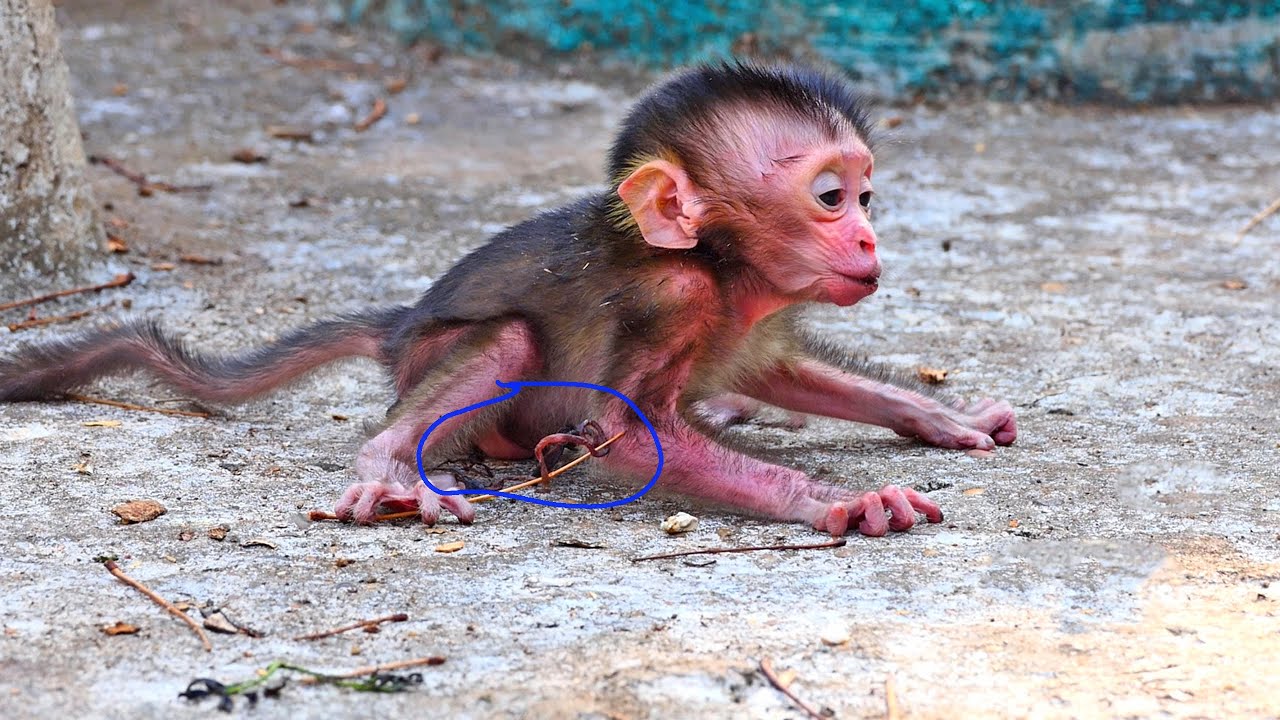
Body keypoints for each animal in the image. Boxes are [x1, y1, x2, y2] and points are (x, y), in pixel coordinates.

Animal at [0, 61, 1016, 537]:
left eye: (867, 195)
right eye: (831, 196)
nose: (868, 239)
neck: (725, 272)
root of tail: (401, 328)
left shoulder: (761, 312)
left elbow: (787, 369)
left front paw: (943, 417)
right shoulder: (675, 292)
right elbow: (628, 434)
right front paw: (838, 502)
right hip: (437, 360)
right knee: (511, 345)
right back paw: (397, 461)